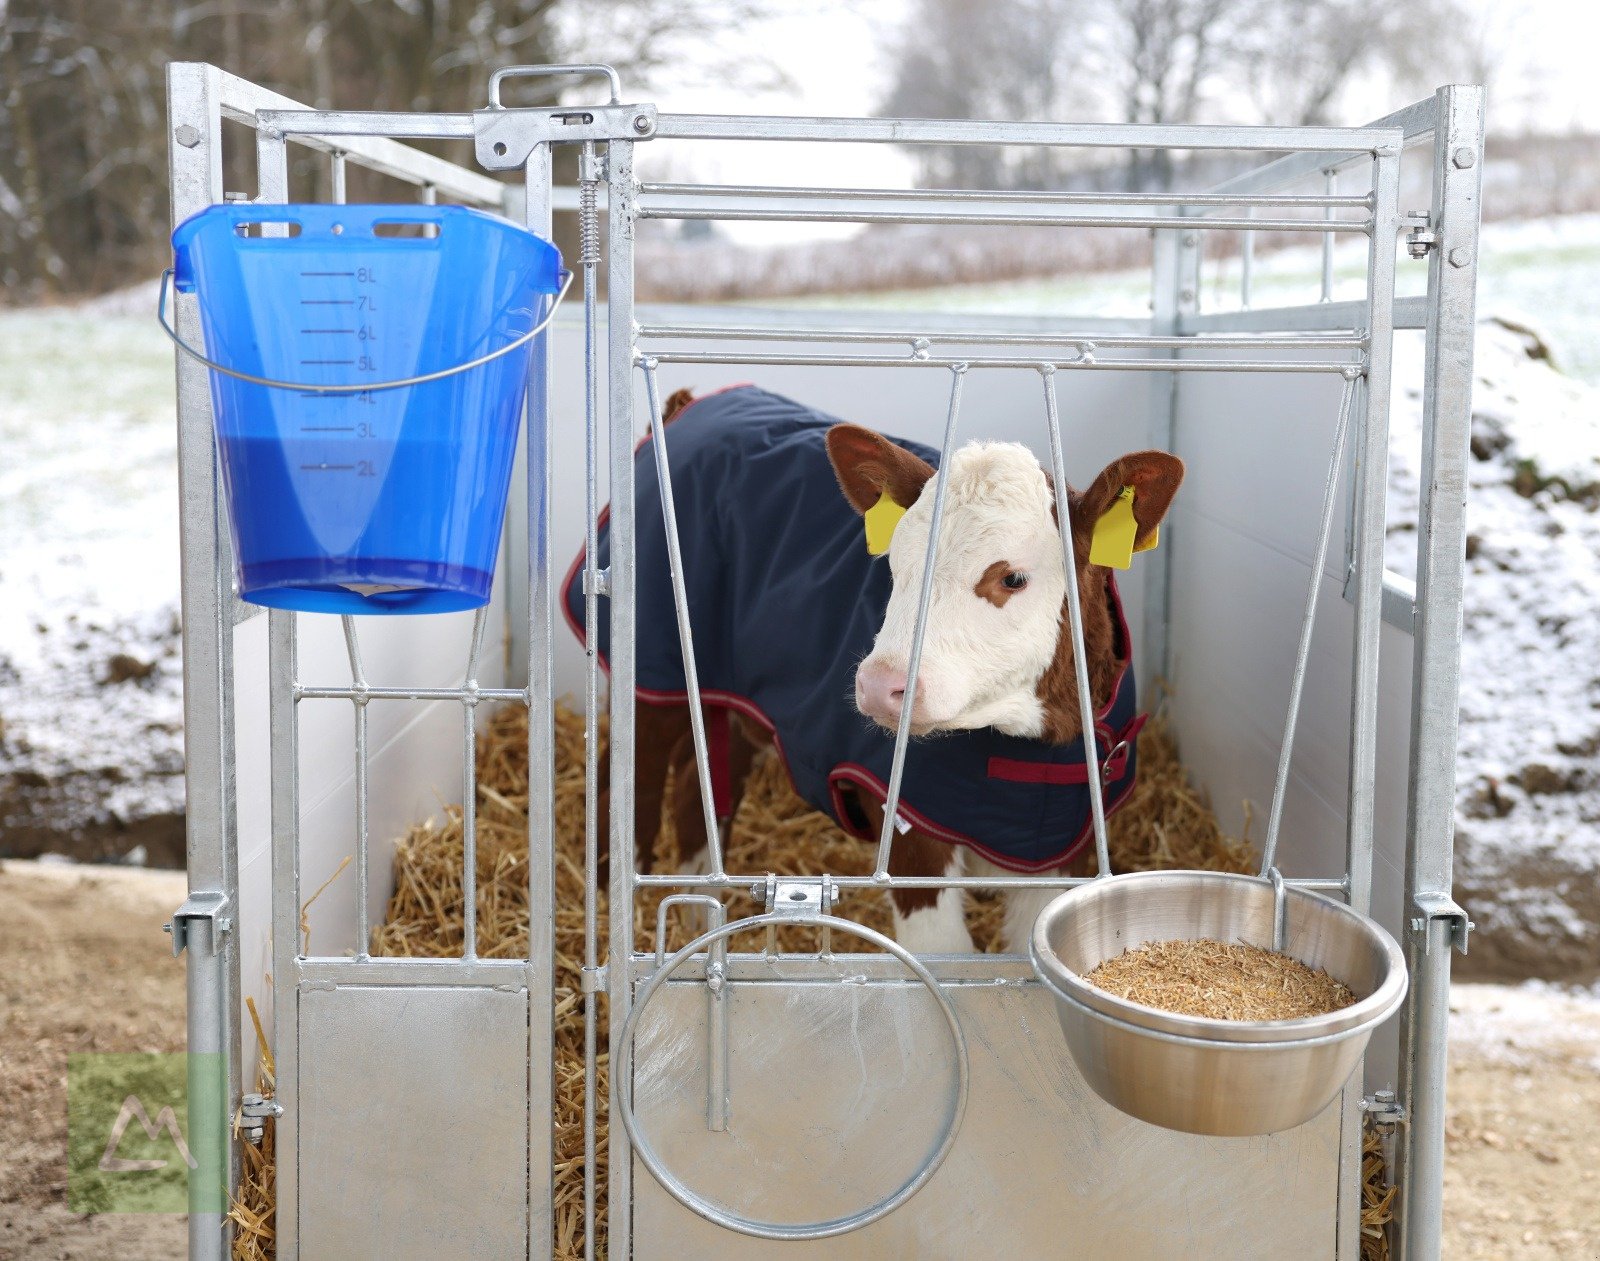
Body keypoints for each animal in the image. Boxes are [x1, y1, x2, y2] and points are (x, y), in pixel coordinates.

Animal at [560, 388, 1177, 953]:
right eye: (895, 565)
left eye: (1013, 578)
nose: (881, 686)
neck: (1029, 752)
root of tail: (694, 407)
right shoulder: (909, 832)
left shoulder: (1069, 846)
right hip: (653, 666)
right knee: (628, 786)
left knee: (701, 783)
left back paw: (696, 923)